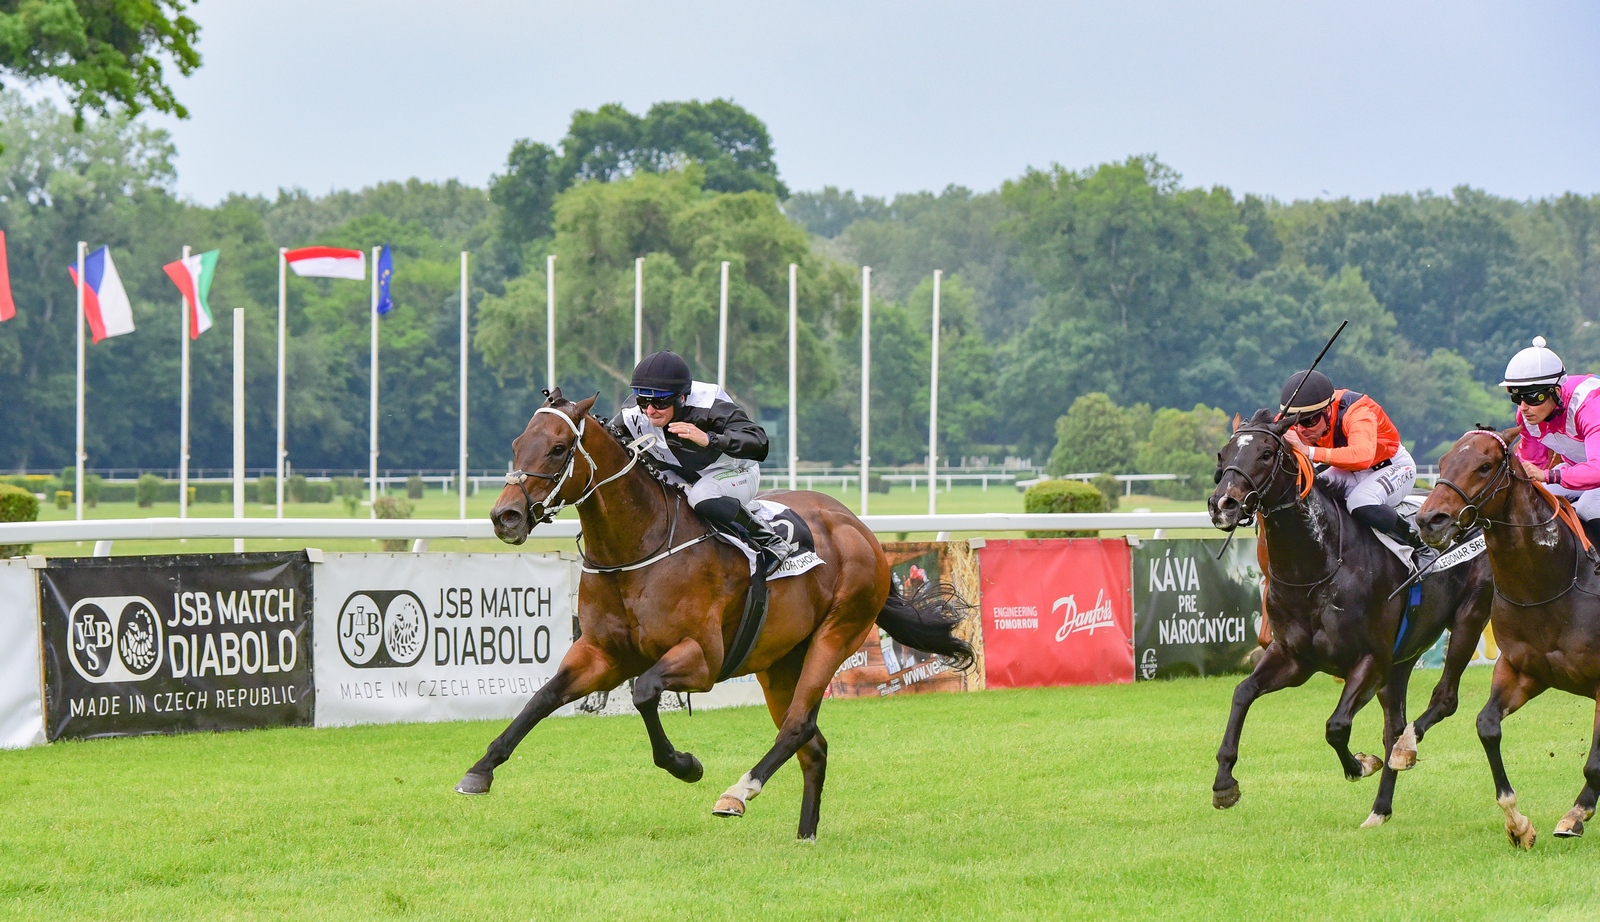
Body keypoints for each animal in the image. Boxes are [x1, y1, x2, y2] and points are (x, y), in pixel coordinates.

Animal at [451, 392, 972, 838]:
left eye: (559, 449)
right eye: (518, 444)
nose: (505, 517)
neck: (638, 547)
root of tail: (858, 528)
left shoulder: (702, 659)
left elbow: (644, 692)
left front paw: (685, 765)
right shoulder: (601, 653)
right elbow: (542, 698)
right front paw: (479, 771)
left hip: (838, 632)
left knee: (798, 726)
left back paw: (738, 793)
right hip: (780, 662)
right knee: (813, 745)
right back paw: (805, 835)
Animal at [1209, 409, 1497, 825]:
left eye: (1265, 453)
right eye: (1224, 452)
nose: (1222, 504)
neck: (1317, 565)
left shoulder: (1370, 660)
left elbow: (1336, 726)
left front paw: (1360, 764)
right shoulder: (1294, 658)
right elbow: (1242, 693)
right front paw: (1223, 784)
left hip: (1468, 619)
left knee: (1442, 700)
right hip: (1403, 659)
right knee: (1394, 725)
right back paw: (1380, 808)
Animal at [1414, 425, 1600, 851]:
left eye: (1484, 466)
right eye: (1443, 462)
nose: (1429, 520)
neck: (1555, 581)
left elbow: (1596, 763)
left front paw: (1576, 815)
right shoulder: (1521, 670)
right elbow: (1487, 726)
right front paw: (1517, 824)